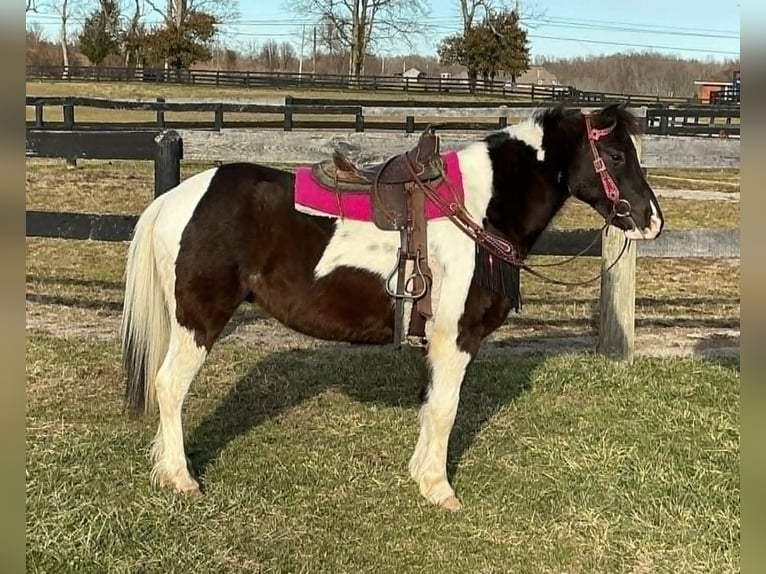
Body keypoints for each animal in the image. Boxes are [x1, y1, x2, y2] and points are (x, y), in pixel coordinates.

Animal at [121, 103, 664, 511]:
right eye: (616, 154)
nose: (652, 221)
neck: (478, 210)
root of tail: (175, 199)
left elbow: (431, 406)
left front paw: (422, 475)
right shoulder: (455, 337)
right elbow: (445, 409)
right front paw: (440, 489)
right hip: (198, 322)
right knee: (169, 387)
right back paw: (181, 478)